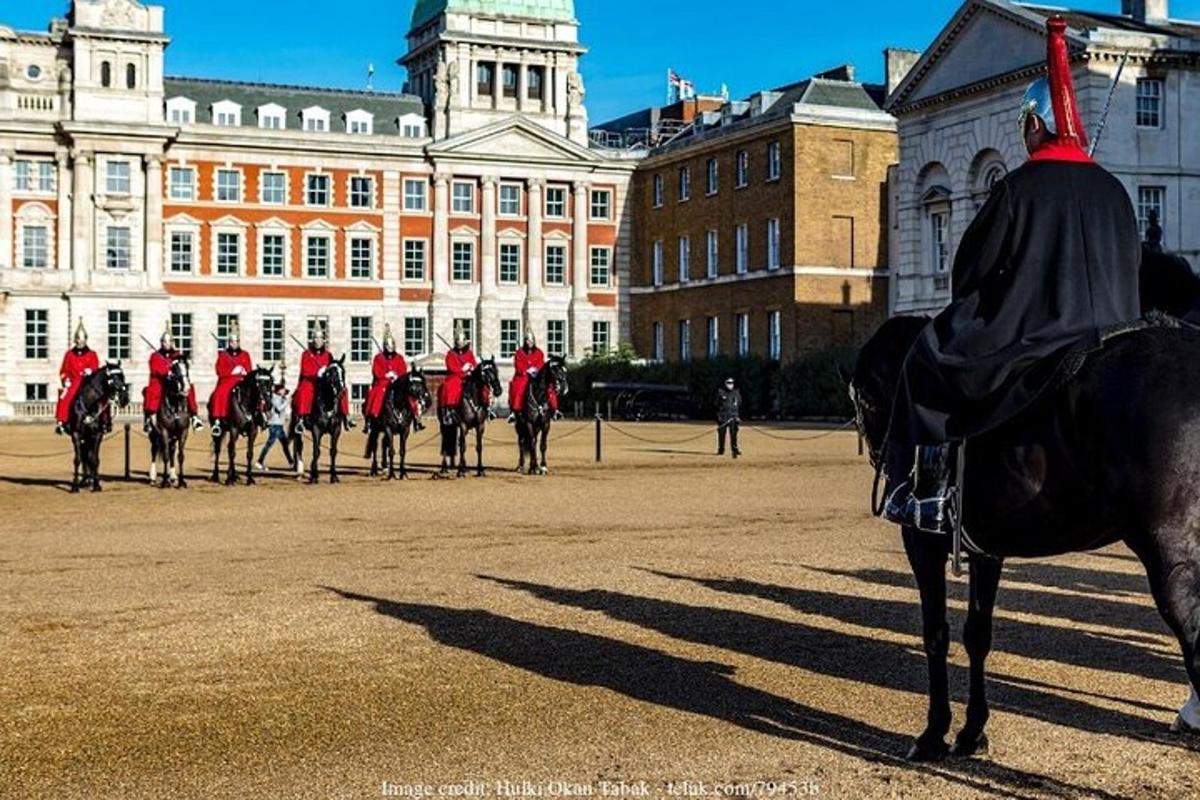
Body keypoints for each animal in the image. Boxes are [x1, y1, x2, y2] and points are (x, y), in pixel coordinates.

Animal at [66, 364, 129, 494]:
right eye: (113, 378)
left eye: (123, 376)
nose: (125, 399)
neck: (89, 403)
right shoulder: (76, 434)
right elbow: (78, 459)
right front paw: (75, 486)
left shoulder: (97, 435)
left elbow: (94, 459)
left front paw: (96, 484)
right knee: (84, 457)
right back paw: (85, 480)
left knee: (88, 457)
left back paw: (88, 480)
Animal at [151, 357, 195, 489]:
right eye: (175, 371)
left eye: (187, 368)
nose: (186, 388)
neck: (175, 404)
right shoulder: (164, 432)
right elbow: (165, 456)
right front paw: (164, 482)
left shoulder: (183, 432)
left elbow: (180, 456)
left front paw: (181, 481)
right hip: (154, 435)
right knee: (154, 451)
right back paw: (153, 477)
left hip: (173, 437)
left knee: (172, 451)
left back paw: (173, 477)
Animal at [849, 316, 1200, 762]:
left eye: (868, 403)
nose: (883, 458)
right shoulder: (986, 551)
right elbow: (976, 635)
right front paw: (972, 732)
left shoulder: (923, 544)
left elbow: (936, 634)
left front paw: (934, 733)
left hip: (1171, 559)